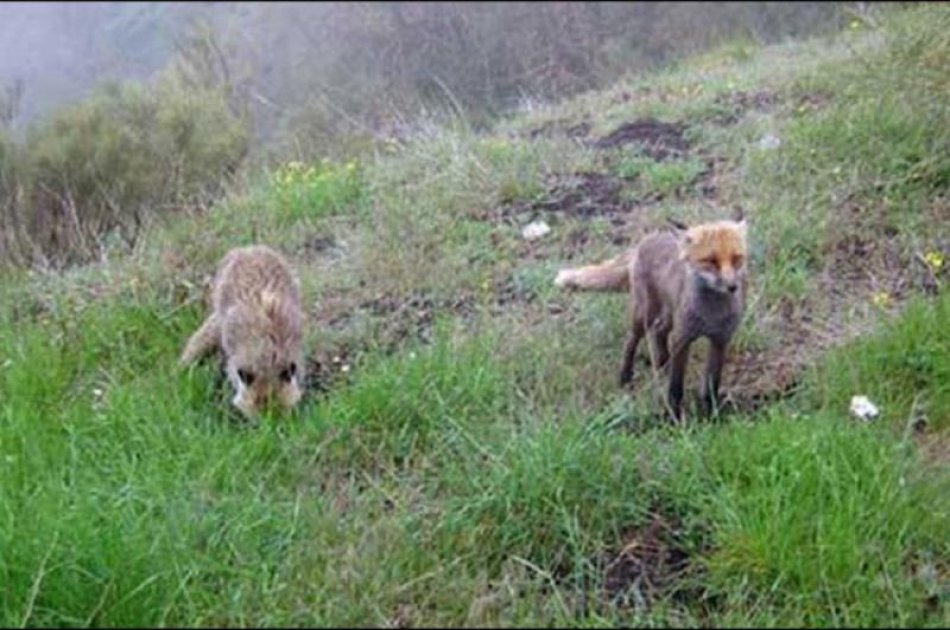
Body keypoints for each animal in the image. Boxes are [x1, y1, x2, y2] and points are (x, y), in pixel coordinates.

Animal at [556, 220, 752, 422]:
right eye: (710, 261)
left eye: (737, 258)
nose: (732, 286)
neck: (710, 315)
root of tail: (647, 238)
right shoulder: (682, 338)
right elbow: (675, 386)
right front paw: (673, 416)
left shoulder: (720, 340)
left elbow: (712, 384)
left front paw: (712, 414)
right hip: (644, 315)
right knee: (631, 341)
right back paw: (625, 377)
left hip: (669, 315)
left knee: (658, 331)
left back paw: (663, 365)